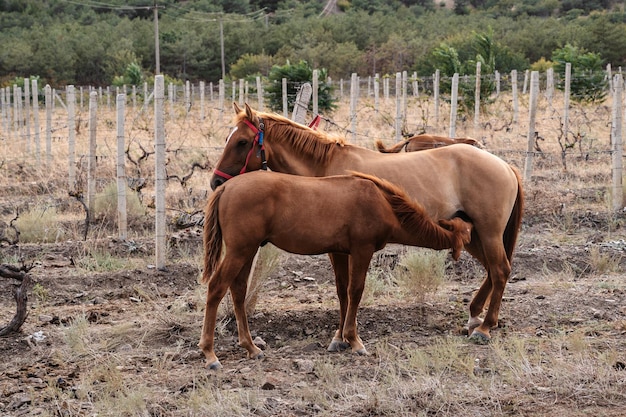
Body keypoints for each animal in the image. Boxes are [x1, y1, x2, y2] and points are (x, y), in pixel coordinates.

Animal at [200, 169, 468, 368]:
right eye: (467, 235)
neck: (381, 203)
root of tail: (227, 187)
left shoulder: (339, 253)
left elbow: (342, 293)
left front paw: (339, 340)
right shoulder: (361, 250)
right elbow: (355, 291)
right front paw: (354, 340)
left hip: (247, 251)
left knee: (238, 291)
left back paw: (251, 347)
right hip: (239, 251)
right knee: (216, 288)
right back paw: (210, 353)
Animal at [210, 104, 520, 344]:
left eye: (242, 142)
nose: (215, 182)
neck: (326, 168)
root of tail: (504, 165)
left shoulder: (344, 248)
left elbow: (348, 289)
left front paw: (345, 336)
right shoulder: (340, 248)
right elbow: (342, 289)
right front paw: (341, 337)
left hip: (489, 233)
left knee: (500, 270)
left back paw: (484, 328)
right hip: (472, 235)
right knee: (493, 270)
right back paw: (475, 316)